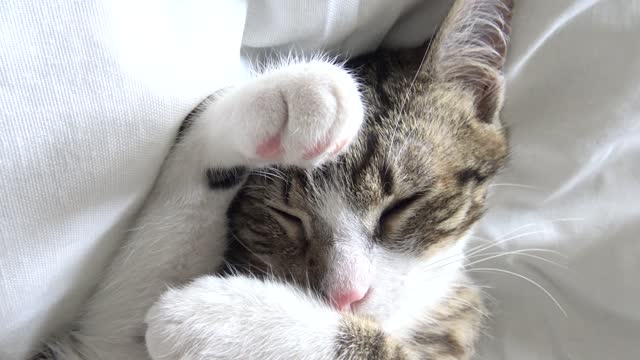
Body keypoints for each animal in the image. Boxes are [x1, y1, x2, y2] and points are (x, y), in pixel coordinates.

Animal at [37, 0, 512, 358]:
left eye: (403, 204)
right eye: (287, 217)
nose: (345, 298)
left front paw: (232, 320)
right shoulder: (107, 340)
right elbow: (125, 311)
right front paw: (288, 95)